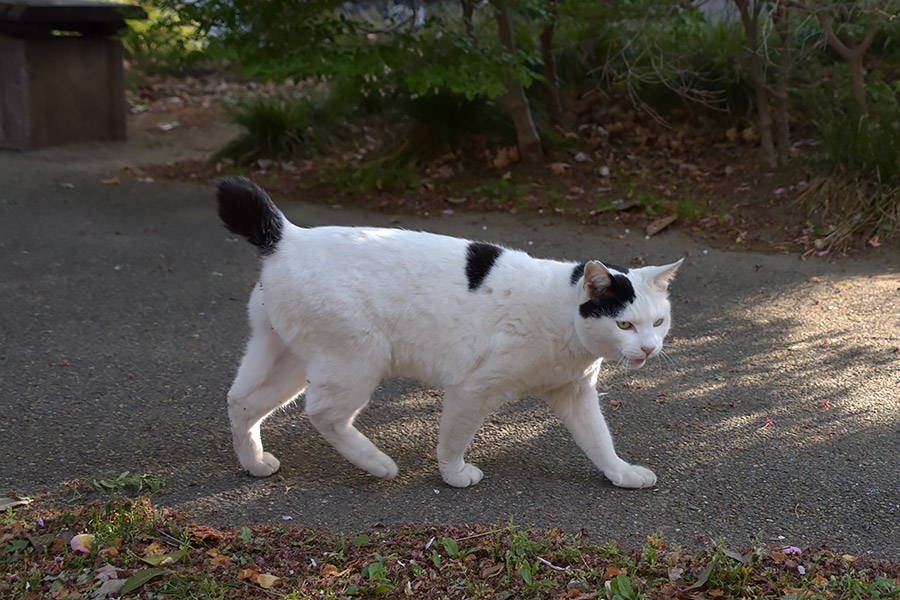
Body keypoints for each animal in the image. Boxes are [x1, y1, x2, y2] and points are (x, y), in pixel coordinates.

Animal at [218, 176, 684, 490]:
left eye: (658, 322)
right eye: (624, 323)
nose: (648, 348)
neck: (563, 315)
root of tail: (288, 236)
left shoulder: (574, 393)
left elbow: (598, 440)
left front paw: (621, 473)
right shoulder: (471, 388)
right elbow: (454, 437)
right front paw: (454, 474)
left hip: (289, 360)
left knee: (241, 401)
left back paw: (254, 463)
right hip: (358, 360)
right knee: (322, 414)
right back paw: (378, 464)